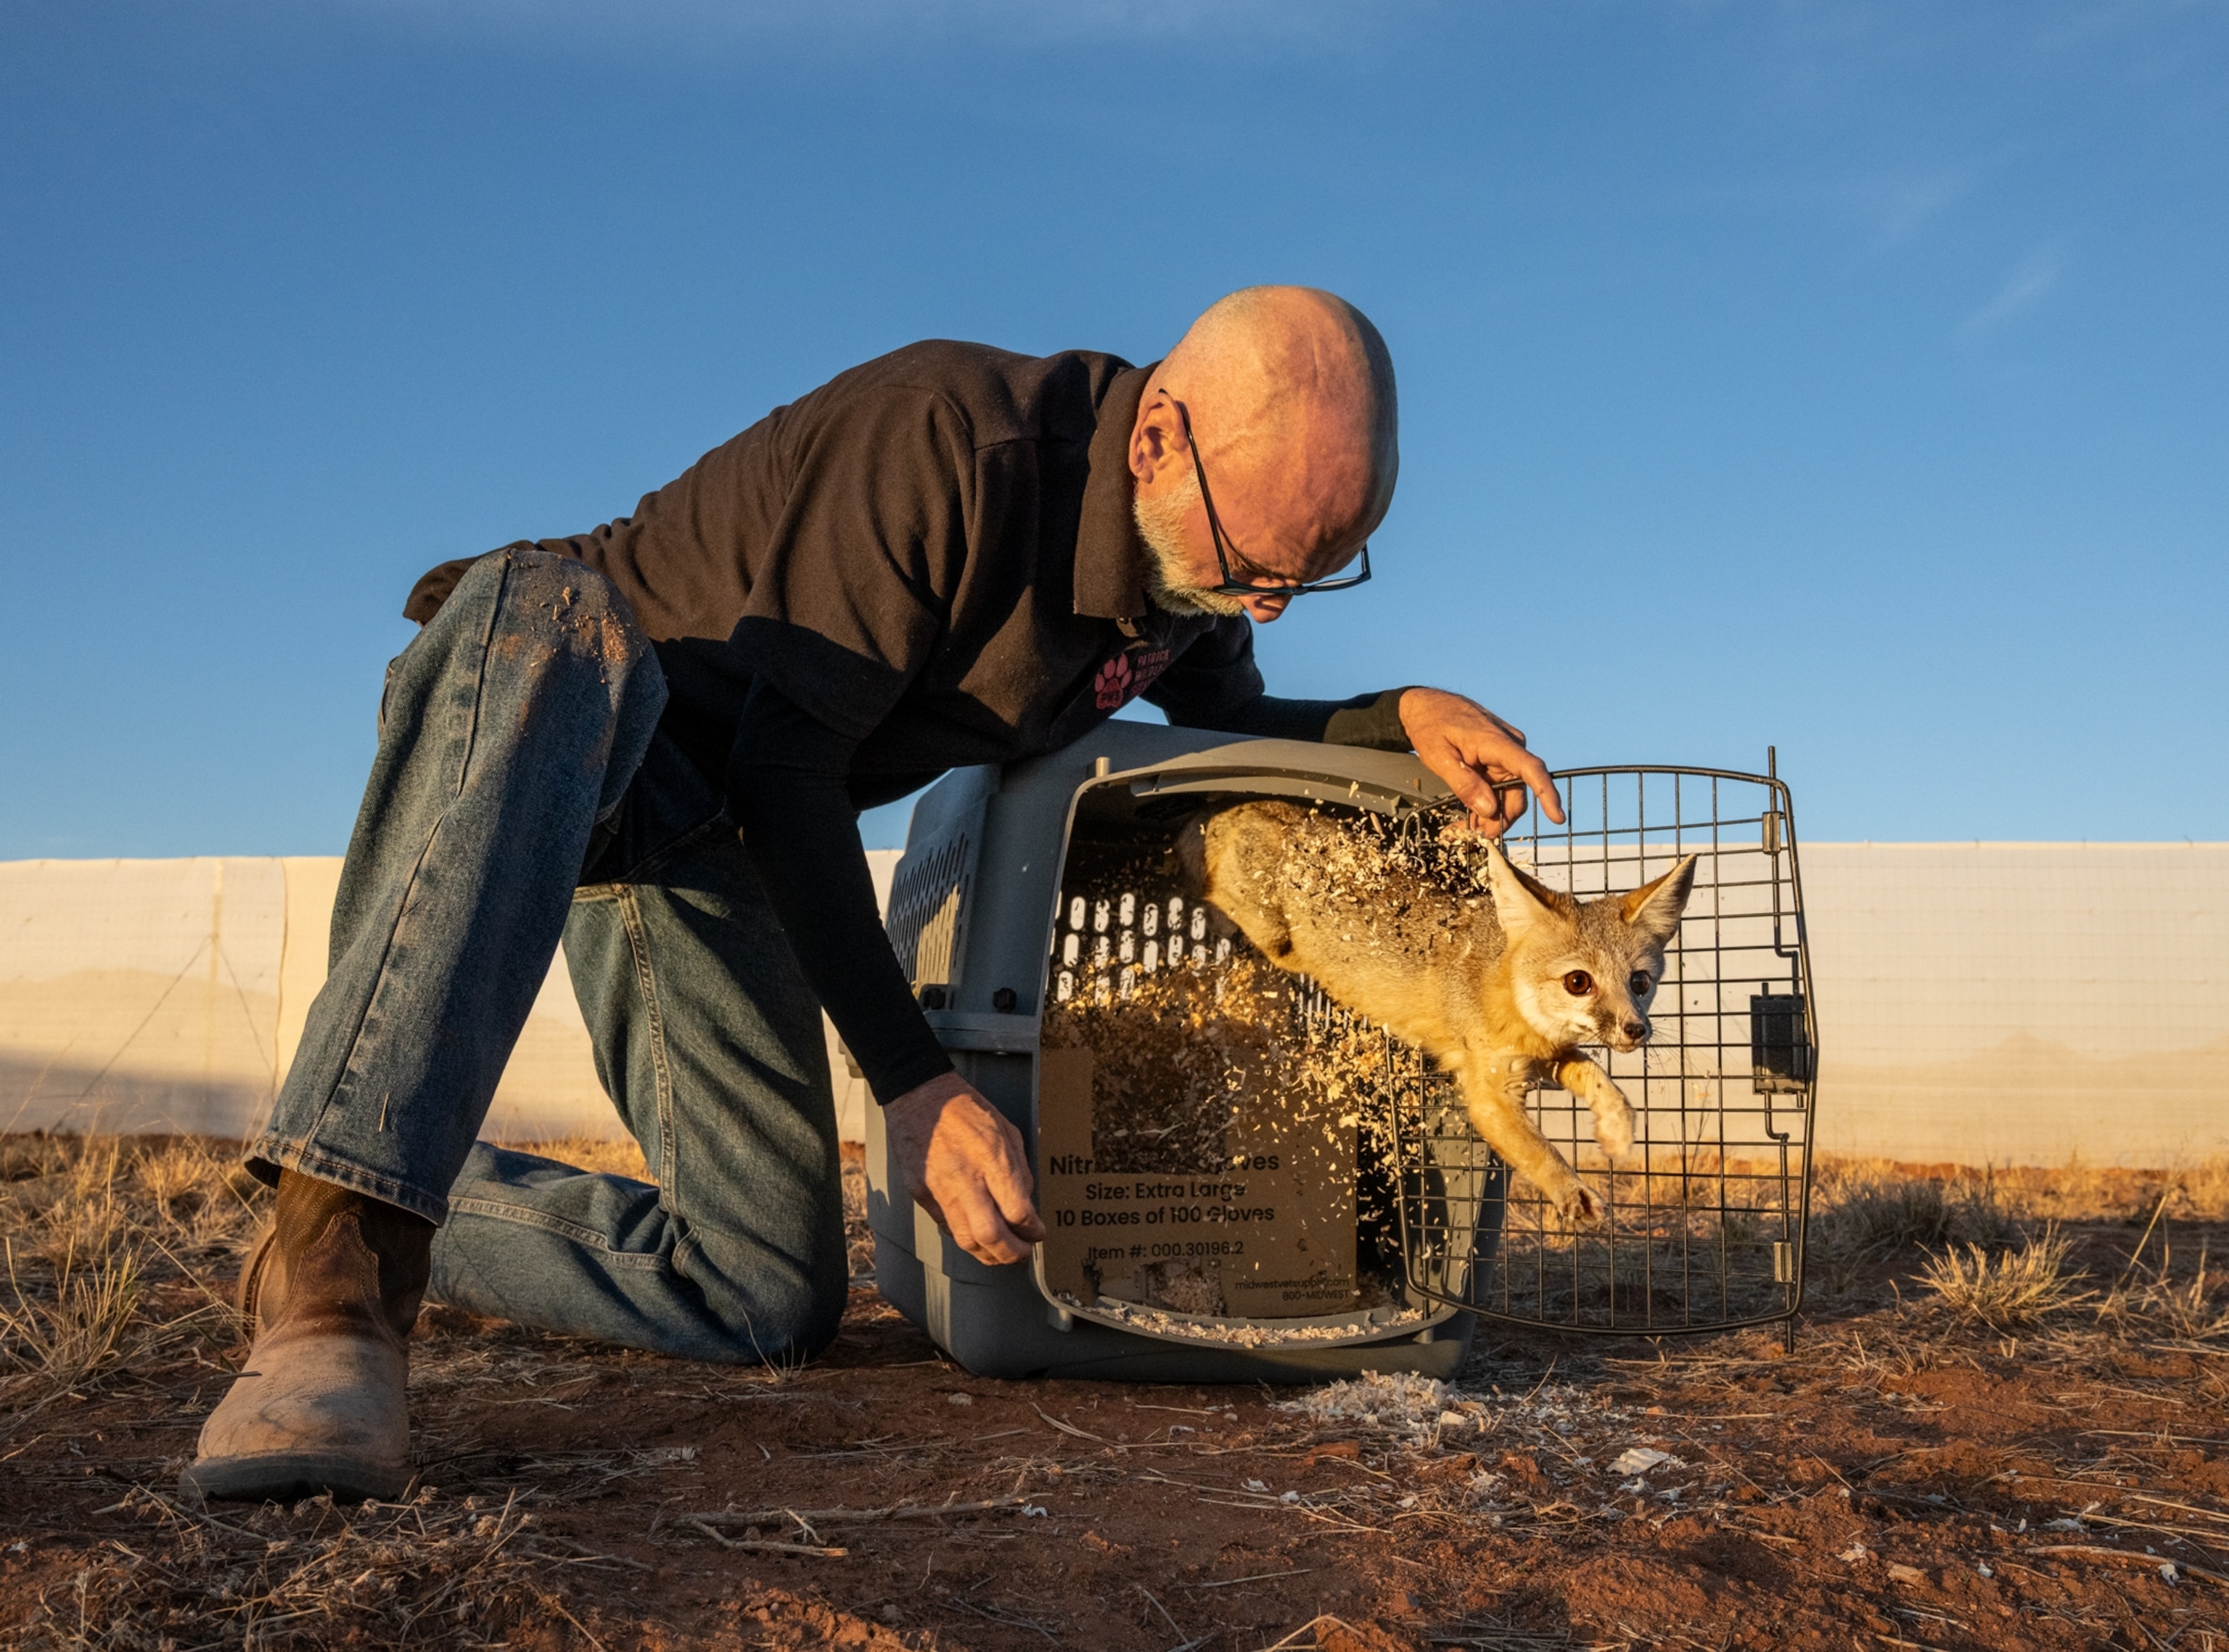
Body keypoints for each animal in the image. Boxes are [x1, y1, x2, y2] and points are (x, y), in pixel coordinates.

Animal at [1187, 801, 1699, 1225]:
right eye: (1579, 983)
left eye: (1640, 983)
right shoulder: (1489, 1094)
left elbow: (1604, 1081)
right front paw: (1571, 1192)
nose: (1636, 1030)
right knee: (1216, 900)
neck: (1503, 990)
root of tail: (1243, 805)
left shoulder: (1545, 1058)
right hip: (1276, 943)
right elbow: (1539, 1151)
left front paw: (1617, 1130)